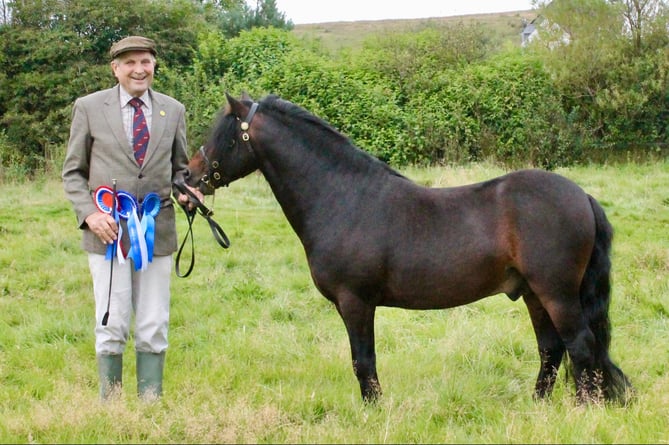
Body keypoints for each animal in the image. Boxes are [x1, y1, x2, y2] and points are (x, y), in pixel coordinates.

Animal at [184, 93, 632, 402]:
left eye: (224, 135)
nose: (187, 179)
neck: (342, 198)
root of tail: (582, 196)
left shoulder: (355, 302)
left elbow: (363, 362)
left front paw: (372, 413)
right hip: (534, 294)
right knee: (552, 349)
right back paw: (537, 404)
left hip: (557, 292)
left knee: (581, 346)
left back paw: (584, 407)